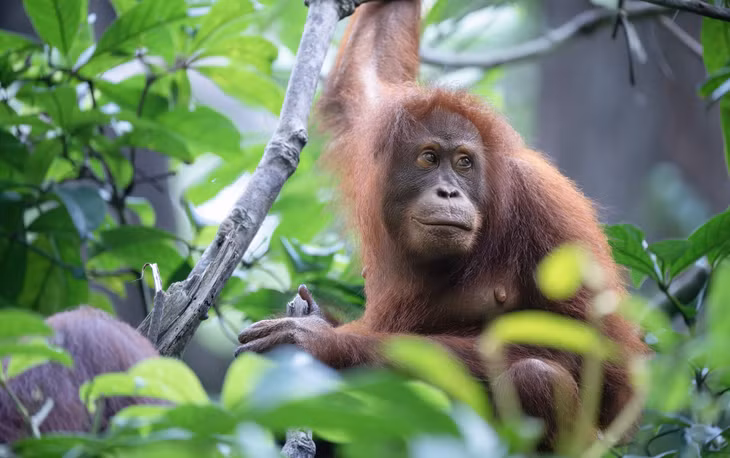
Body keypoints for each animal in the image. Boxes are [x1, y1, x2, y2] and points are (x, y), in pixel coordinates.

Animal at [235, 0, 648, 450]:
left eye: (464, 162)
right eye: (430, 158)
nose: (449, 192)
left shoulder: (550, 210)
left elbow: (600, 362)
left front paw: (321, 338)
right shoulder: (372, 129)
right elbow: (366, 71)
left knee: (535, 376)